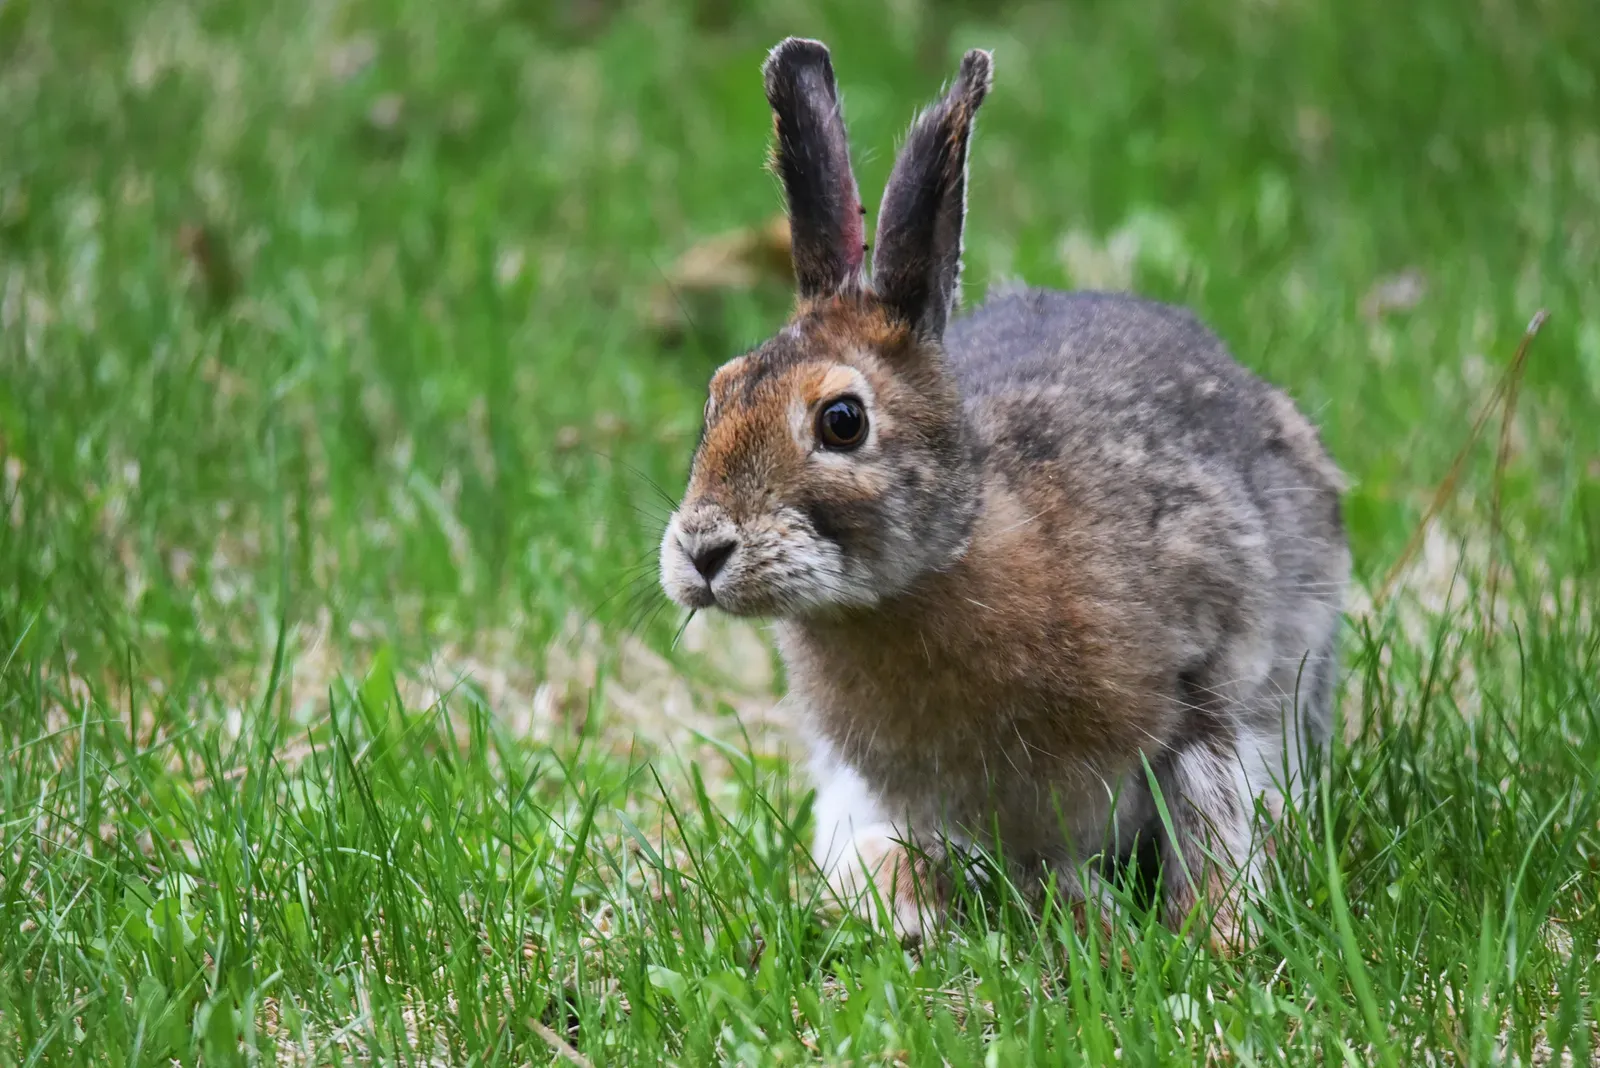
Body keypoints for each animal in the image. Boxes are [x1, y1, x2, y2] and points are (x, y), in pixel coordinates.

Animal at [658, 38, 1349, 949]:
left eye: (843, 421)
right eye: (718, 393)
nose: (702, 551)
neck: (937, 569)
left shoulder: (1207, 695)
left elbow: (1213, 816)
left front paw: (1211, 938)